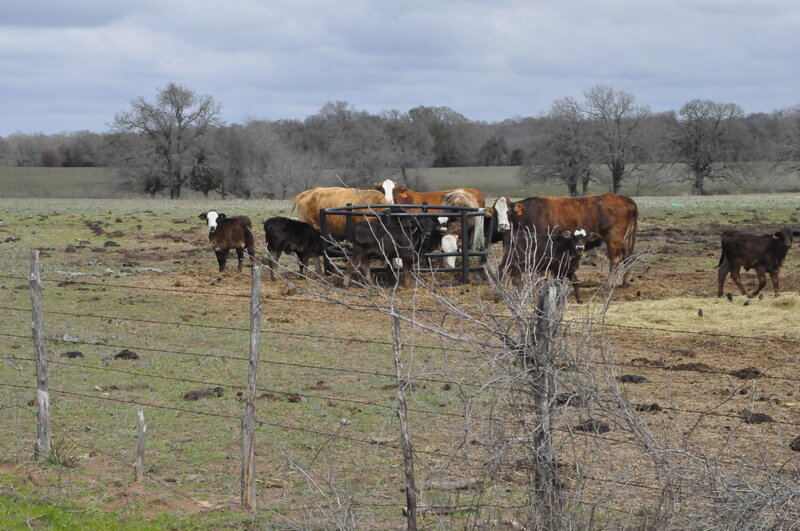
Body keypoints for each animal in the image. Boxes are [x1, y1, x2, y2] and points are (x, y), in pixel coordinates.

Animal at [492, 194, 638, 286]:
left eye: (509, 210)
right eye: (495, 211)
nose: (502, 226)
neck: (531, 213)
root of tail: (623, 198)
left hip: (614, 239)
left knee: (615, 260)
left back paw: (609, 284)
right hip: (626, 239)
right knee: (628, 257)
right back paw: (625, 282)